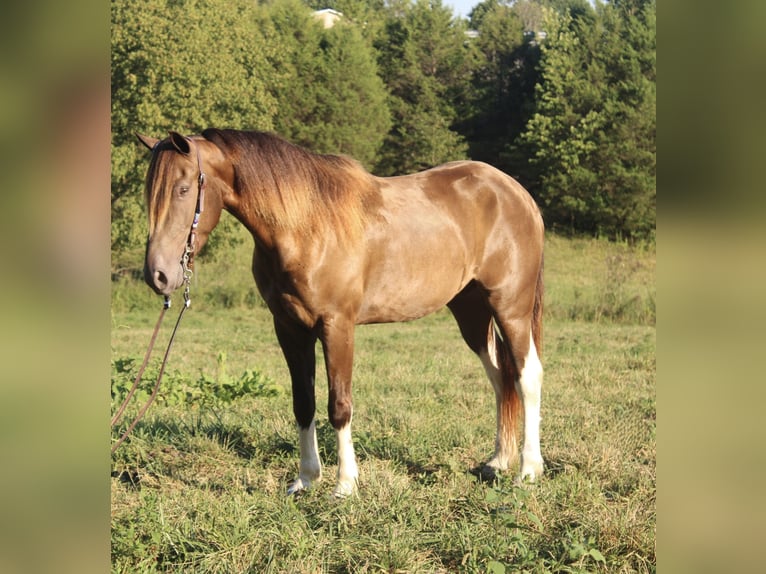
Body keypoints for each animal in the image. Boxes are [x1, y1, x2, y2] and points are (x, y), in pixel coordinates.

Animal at [137, 129, 545, 497]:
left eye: (183, 190)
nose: (158, 275)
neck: (305, 228)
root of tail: (515, 193)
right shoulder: (290, 329)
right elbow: (304, 403)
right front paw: (305, 479)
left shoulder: (337, 326)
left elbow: (339, 404)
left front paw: (345, 484)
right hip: (471, 311)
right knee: (500, 376)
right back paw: (498, 462)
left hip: (511, 308)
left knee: (527, 376)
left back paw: (527, 470)